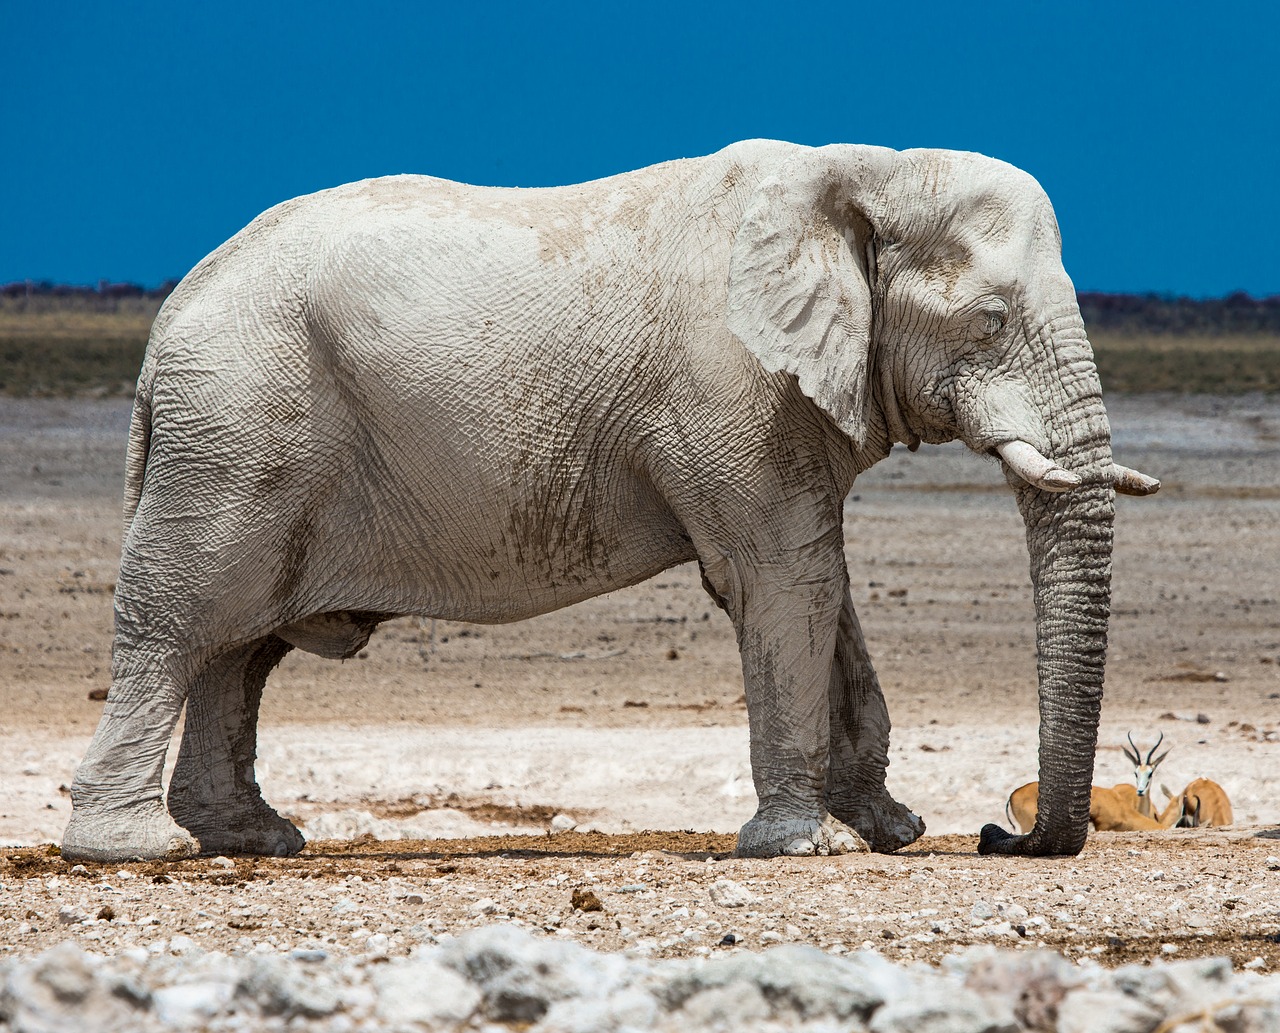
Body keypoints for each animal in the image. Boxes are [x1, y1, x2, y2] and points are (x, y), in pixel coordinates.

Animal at [62, 139, 1162, 865]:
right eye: (991, 319)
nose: (998, 831)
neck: (866, 169)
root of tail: (169, 316)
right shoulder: (728, 386)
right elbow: (783, 583)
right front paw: (798, 847)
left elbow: (820, 589)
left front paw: (890, 832)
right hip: (237, 425)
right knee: (182, 621)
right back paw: (133, 849)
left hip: (246, 434)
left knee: (241, 646)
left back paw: (252, 838)